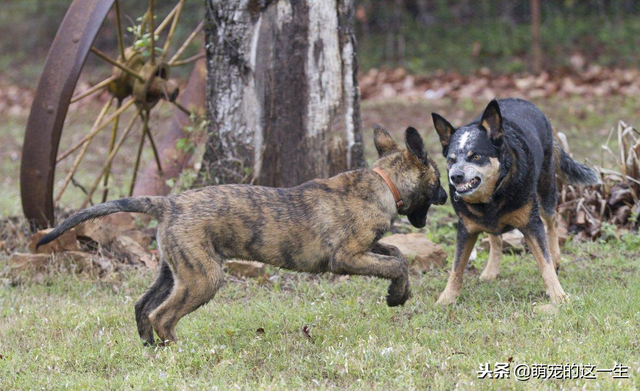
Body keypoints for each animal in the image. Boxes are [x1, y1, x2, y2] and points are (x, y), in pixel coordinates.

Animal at [37, 125, 448, 346]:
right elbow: (395, 264)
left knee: (142, 306)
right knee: (162, 315)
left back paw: (150, 350)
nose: (449, 194)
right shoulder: (346, 257)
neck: (384, 181)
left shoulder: (367, 247)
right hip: (203, 277)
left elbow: (396, 253)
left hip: (176, 269)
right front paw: (397, 295)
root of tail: (169, 203)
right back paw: (176, 351)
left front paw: (399, 293)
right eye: (437, 179)